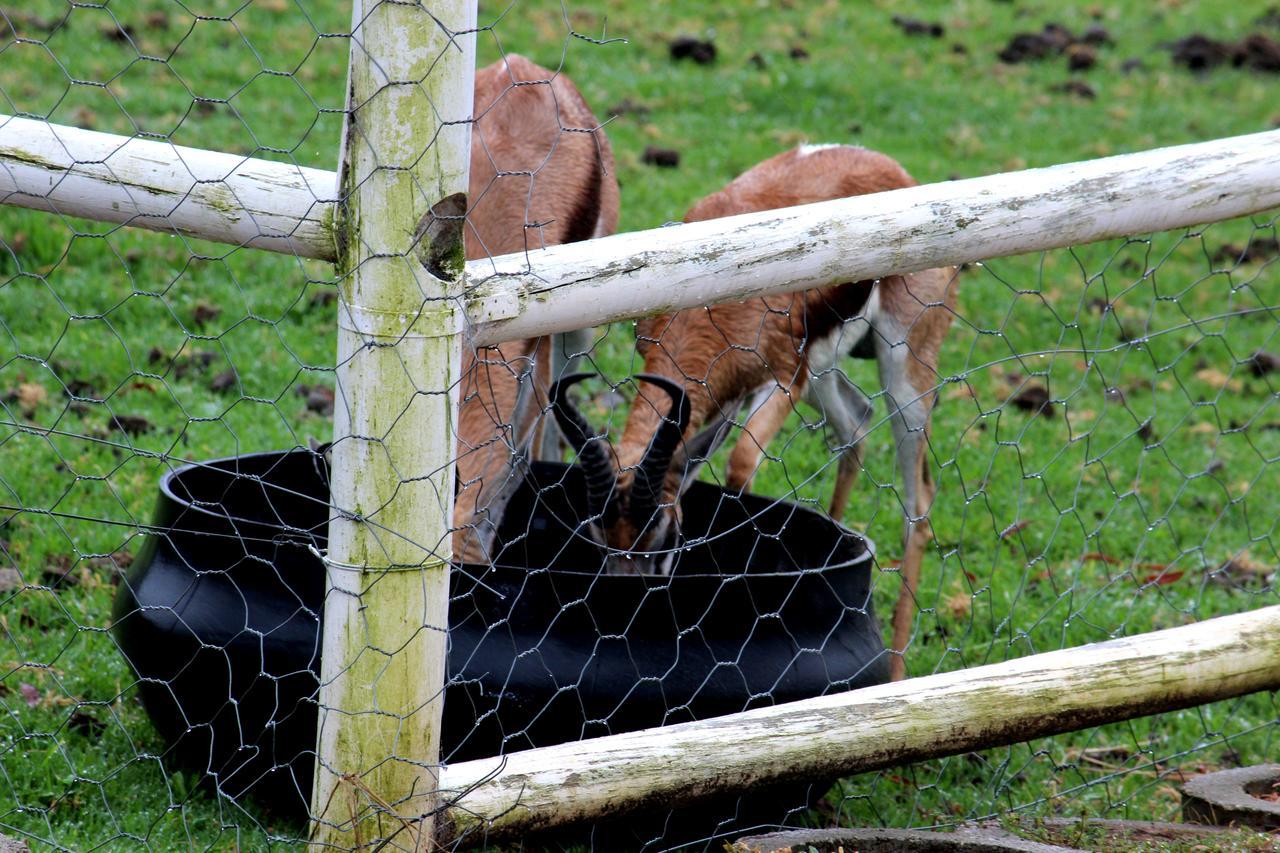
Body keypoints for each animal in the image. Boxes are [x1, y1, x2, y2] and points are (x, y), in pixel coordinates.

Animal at [555, 144, 957, 676]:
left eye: (666, 535)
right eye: (598, 536)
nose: (622, 610)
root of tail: (890, 167)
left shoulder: (782, 380)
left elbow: (741, 466)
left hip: (902, 370)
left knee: (919, 499)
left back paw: (894, 669)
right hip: (823, 373)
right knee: (856, 425)